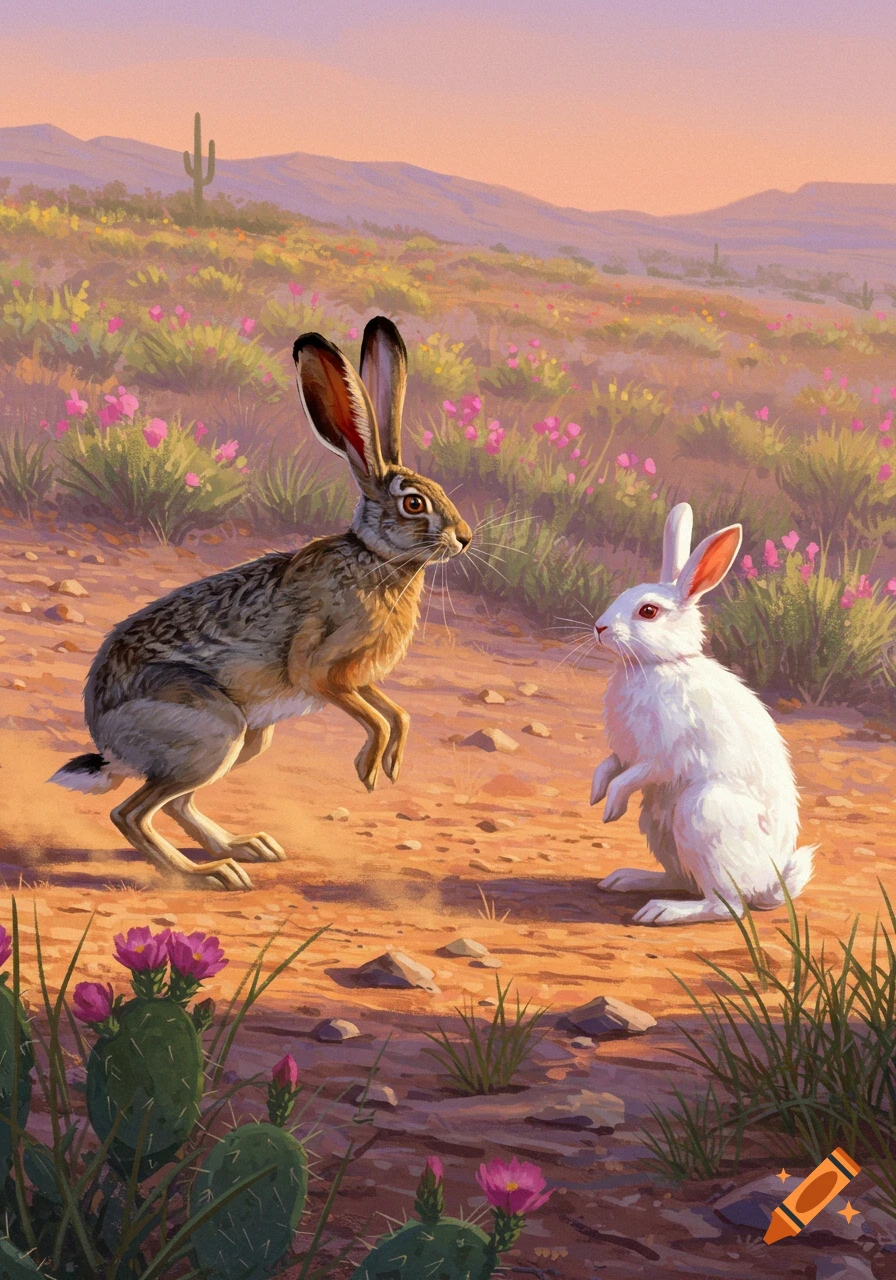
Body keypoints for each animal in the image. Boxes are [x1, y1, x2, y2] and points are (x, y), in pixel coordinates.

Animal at [48, 317, 472, 891]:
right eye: (413, 504)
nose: (465, 539)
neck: (377, 559)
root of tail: (108, 740)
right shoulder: (320, 669)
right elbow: (370, 714)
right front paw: (369, 767)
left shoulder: (356, 676)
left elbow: (394, 711)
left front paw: (392, 763)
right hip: (212, 731)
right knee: (130, 813)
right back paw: (207, 875)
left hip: (247, 740)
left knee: (176, 806)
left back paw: (247, 848)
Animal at [589, 502, 815, 925]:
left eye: (648, 611)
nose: (599, 627)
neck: (659, 665)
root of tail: (770, 885)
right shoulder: (624, 752)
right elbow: (608, 766)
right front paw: (595, 796)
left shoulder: (666, 753)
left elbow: (631, 776)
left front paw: (610, 807)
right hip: (660, 824)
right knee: (683, 879)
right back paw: (626, 880)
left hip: (702, 813)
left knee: (725, 906)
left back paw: (662, 911)